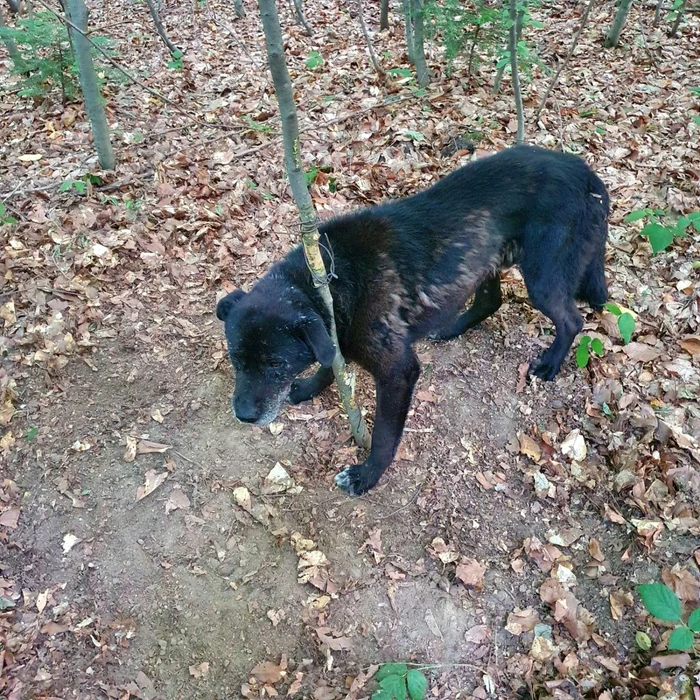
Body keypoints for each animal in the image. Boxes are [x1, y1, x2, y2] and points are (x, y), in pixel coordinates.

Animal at [216, 146, 608, 498]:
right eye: (236, 360)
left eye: (275, 363)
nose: (243, 415)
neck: (330, 280)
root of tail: (585, 172)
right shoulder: (333, 335)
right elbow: (332, 364)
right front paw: (311, 386)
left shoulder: (398, 372)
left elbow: (384, 435)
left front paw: (366, 476)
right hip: (486, 258)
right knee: (491, 300)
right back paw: (450, 328)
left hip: (542, 277)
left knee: (571, 320)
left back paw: (550, 363)